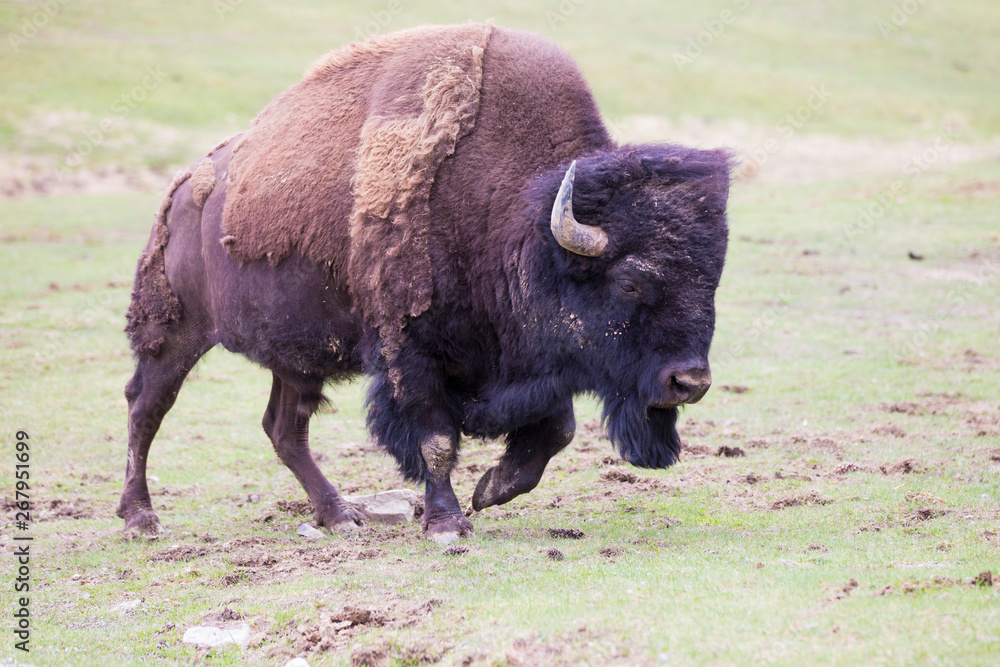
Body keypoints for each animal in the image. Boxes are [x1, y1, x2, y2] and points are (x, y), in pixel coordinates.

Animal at [117, 22, 732, 544]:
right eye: (630, 282)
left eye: (713, 278)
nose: (690, 382)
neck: (520, 224)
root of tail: (182, 191)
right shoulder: (409, 352)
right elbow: (435, 441)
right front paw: (448, 524)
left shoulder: (534, 363)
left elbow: (556, 431)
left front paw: (490, 491)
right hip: (174, 333)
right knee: (147, 406)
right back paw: (141, 517)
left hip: (296, 357)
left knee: (284, 428)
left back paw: (341, 516)